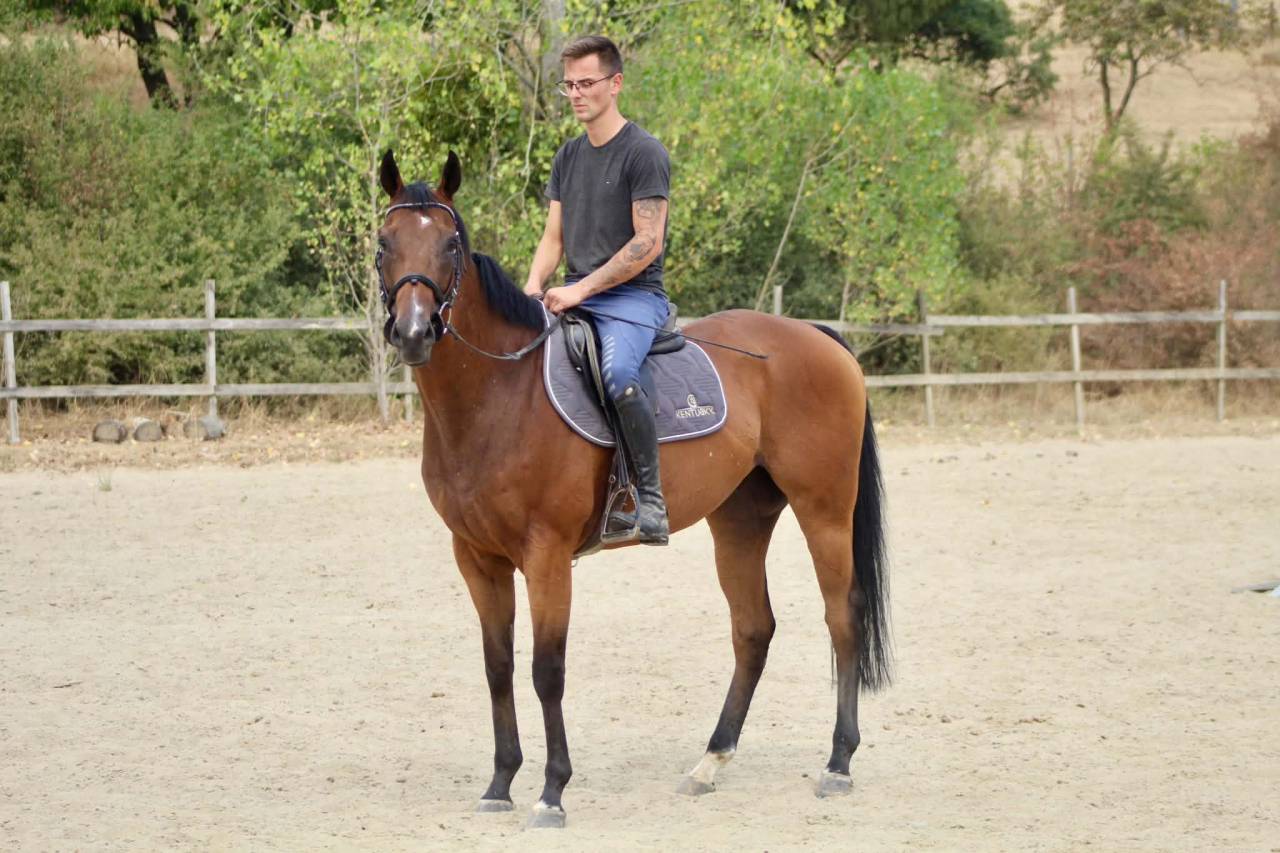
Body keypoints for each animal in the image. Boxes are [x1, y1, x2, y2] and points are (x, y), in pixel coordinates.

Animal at [376, 149, 890, 828]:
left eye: (451, 244)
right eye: (384, 242)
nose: (414, 331)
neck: (499, 396)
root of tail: (814, 335)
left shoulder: (545, 556)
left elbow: (546, 670)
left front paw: (552, 792)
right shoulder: (477, 558)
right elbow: (497, 667)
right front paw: (500, 782)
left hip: (824, 510)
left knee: (842, 617)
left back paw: (838, 762)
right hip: (741, 520)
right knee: (753, 628)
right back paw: (710, 762)